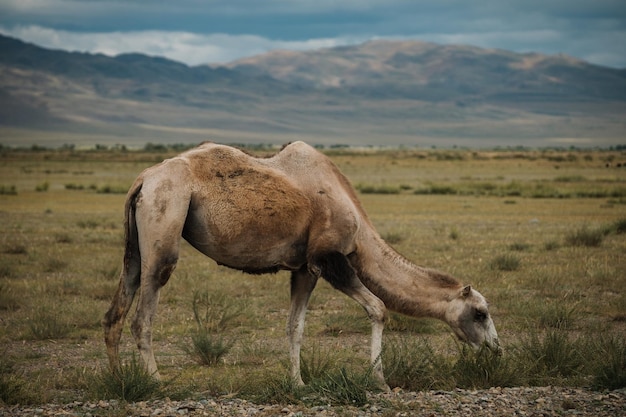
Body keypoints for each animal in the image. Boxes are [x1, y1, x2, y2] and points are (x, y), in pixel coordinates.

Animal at [105, 141, 500, 386]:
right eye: (480, 313)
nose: (497, 350)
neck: (360, 231)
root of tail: (143, 180)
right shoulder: (330, 257)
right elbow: (378, 307)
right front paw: (379, 380)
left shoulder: (304, 268)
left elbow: (294, 326)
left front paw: (297, 383)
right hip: (166, 221)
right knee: (143, 314)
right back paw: (156, 382)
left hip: (135, 246)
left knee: (116, 310)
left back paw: (120, 380)